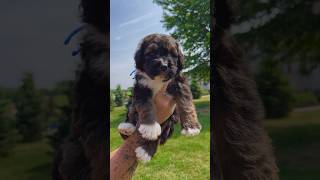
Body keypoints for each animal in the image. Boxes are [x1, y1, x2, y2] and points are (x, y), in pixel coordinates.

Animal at [119, 33, 201, 162]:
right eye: (151, 53)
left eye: (173, 54)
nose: (164, 65)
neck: (158, 80)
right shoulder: (141, 88)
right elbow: (146, 107)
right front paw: (150, 126)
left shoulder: (180, 83)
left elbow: (186, 104)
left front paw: (191, 127)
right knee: (132, 110)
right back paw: (127, 126)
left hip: (168, 124)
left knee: (158, 137)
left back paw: (145, 152)